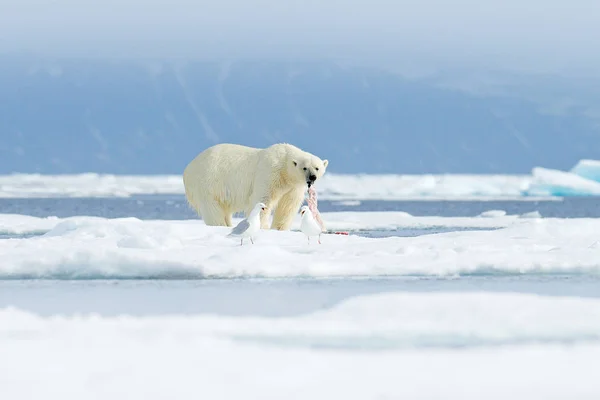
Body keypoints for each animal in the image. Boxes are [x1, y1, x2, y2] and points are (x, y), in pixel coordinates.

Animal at [184, 144, 328, 231]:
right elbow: (263, 199)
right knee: (212, 207)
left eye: (317, 167)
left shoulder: (293, 186)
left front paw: (279, 228)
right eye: (305, 168)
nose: (312, 177)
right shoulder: (269, 173)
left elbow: (287, 206)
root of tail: (188, 169)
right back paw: (220, 225)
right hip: (208, 182)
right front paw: (262, 227)